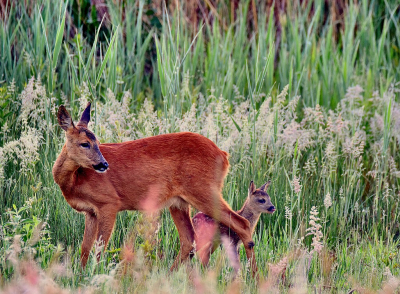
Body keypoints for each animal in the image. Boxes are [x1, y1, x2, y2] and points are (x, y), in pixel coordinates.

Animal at [52, 103, 256, 274]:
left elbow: (99, 246)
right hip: (179, 202)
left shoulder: (109, 203)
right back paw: (169, 275)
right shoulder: (90, 212)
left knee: (242, 223)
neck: (76, 180)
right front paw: (81, 275)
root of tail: (223, 155)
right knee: (189, 240)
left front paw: (95, 274)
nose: (103, 164)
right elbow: (85, 248)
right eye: (84, 143)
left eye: (97, 143)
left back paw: (252, 276)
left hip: (203, 191)